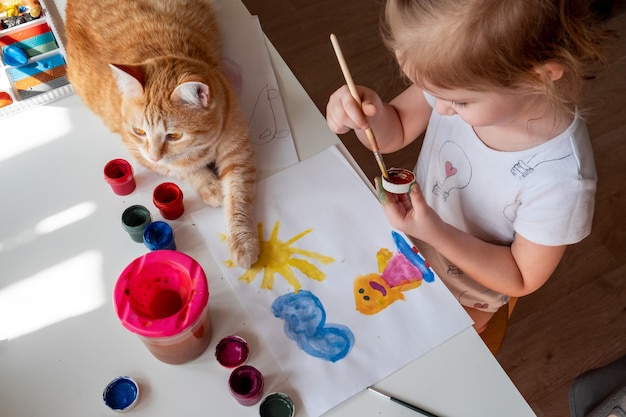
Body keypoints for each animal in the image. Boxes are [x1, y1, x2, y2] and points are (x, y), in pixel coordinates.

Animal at [64, 0, 258, 266]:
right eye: (139, 131)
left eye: (174, 135)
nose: (155, 155)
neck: (201, 148)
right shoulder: (138, 151)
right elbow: (184, 169)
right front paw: (212, 186)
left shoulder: (238, 153)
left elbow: (237, 198)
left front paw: (243, 242)